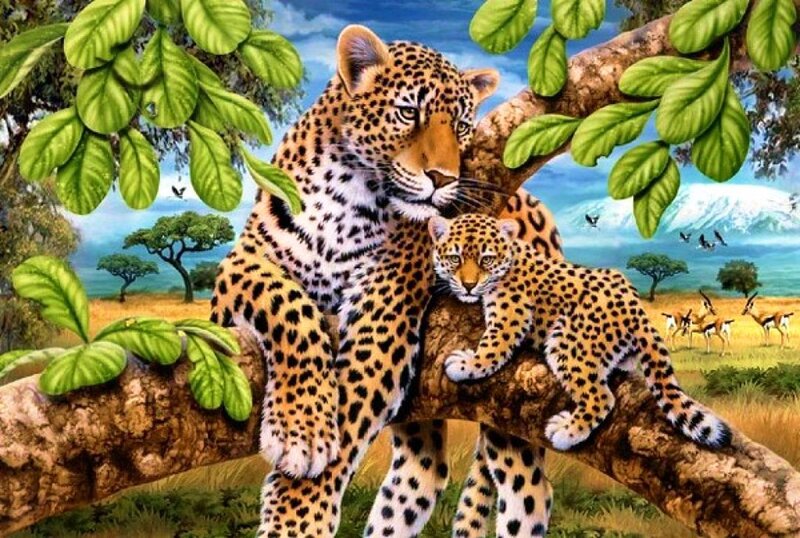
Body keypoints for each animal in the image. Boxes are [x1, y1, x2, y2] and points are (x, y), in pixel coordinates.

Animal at [210, 24, 563, 536]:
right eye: (408, 112)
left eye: (461, 126)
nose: (443, 178)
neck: (344, 193)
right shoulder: (242, 266)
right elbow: (288, 304)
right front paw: (302, 430)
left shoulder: (386, 305)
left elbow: (353, 403)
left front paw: (298, 511)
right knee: (423, 471)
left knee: (529, 488)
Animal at [429, 213, 733, 452]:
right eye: (455, 258)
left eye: (487, 259)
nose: (468, 285)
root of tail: (636, 311)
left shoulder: (512, 313)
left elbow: (494, 344)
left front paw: (468, 364)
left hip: (567, 343)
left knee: (601, 398)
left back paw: (566, 431)